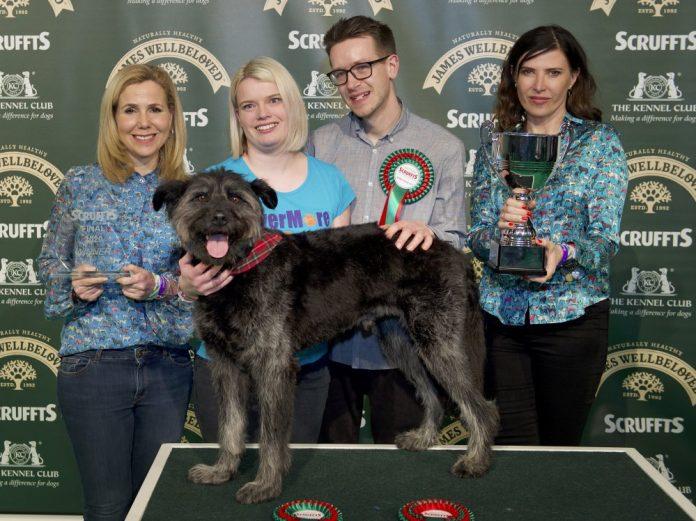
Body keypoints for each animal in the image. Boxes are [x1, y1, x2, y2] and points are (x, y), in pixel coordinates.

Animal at [154, 171, 498, 504]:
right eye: (200, 197)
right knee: (433, 395)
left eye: (236, 198)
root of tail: (457, 256)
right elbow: (230, 425)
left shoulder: (273, 364)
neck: (237, 271)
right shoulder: (225, 364)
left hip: (438, 342)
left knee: (481, 408)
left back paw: (476, 460)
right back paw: (424, 438)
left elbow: (270, 435)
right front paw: (222, 470)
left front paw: (266, 485)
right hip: (401, 344)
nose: (220, 217)